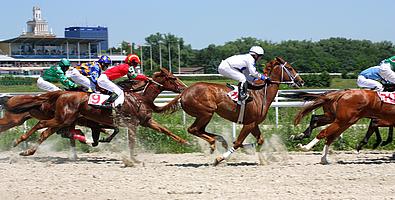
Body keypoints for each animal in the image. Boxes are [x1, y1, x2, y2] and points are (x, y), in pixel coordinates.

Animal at [4, 68, 187, 159]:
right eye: (173, 78)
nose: (184, 88)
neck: (140, 98)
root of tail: (62, 94)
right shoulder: (131, 124)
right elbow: (131, 142)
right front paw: (133, 159)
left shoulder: (146, 121)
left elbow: (166, 130)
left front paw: (186, 141)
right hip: (63, 118)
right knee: (42, 126)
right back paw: (20, 143)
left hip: (64, 120)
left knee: (47, 132)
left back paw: (28, 150)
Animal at [156, 56, 304, 166]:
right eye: (289, 68)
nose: (301, 81)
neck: (261, 93)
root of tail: (184, 92)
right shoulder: (249, 124)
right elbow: (238, 142)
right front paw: (220, 158)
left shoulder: (254, 123)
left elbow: (259, 140)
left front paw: (254, 153)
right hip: (206, 113)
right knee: (193, 129)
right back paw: (213, 143)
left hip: (205, 115)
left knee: (199, 130)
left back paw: (219, 140)